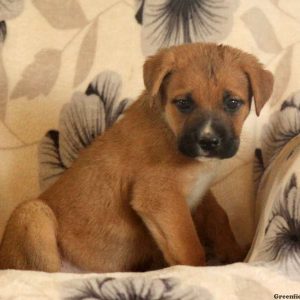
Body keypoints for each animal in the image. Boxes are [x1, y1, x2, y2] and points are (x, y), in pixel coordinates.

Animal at [0, 43, 272, 274]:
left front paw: (236, 254)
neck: (169, 128)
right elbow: (190, 248)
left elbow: (220, 220)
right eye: (183, 103)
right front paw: (197, 272)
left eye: (233, 103)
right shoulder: (160, 197)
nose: (208, 142)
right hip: (33, 213)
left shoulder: (200, 194)